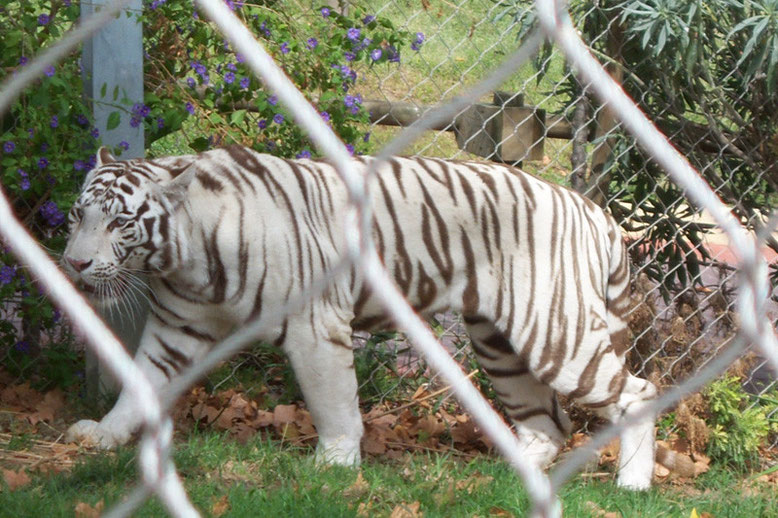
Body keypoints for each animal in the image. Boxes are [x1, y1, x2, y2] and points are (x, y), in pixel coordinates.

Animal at [66, 146, 656, 492]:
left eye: (120, 222)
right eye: (78, 214)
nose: (73, 263)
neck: (185, 258)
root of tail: (595, 211)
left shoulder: (315, 325)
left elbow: (333, 402)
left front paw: (334, 465)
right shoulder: (176, 329)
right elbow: (139, 384)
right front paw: (104, 435)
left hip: (553, 330)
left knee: (638, 393)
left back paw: (633, 486)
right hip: (501, 344)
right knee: (549, 424)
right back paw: (511, 477)